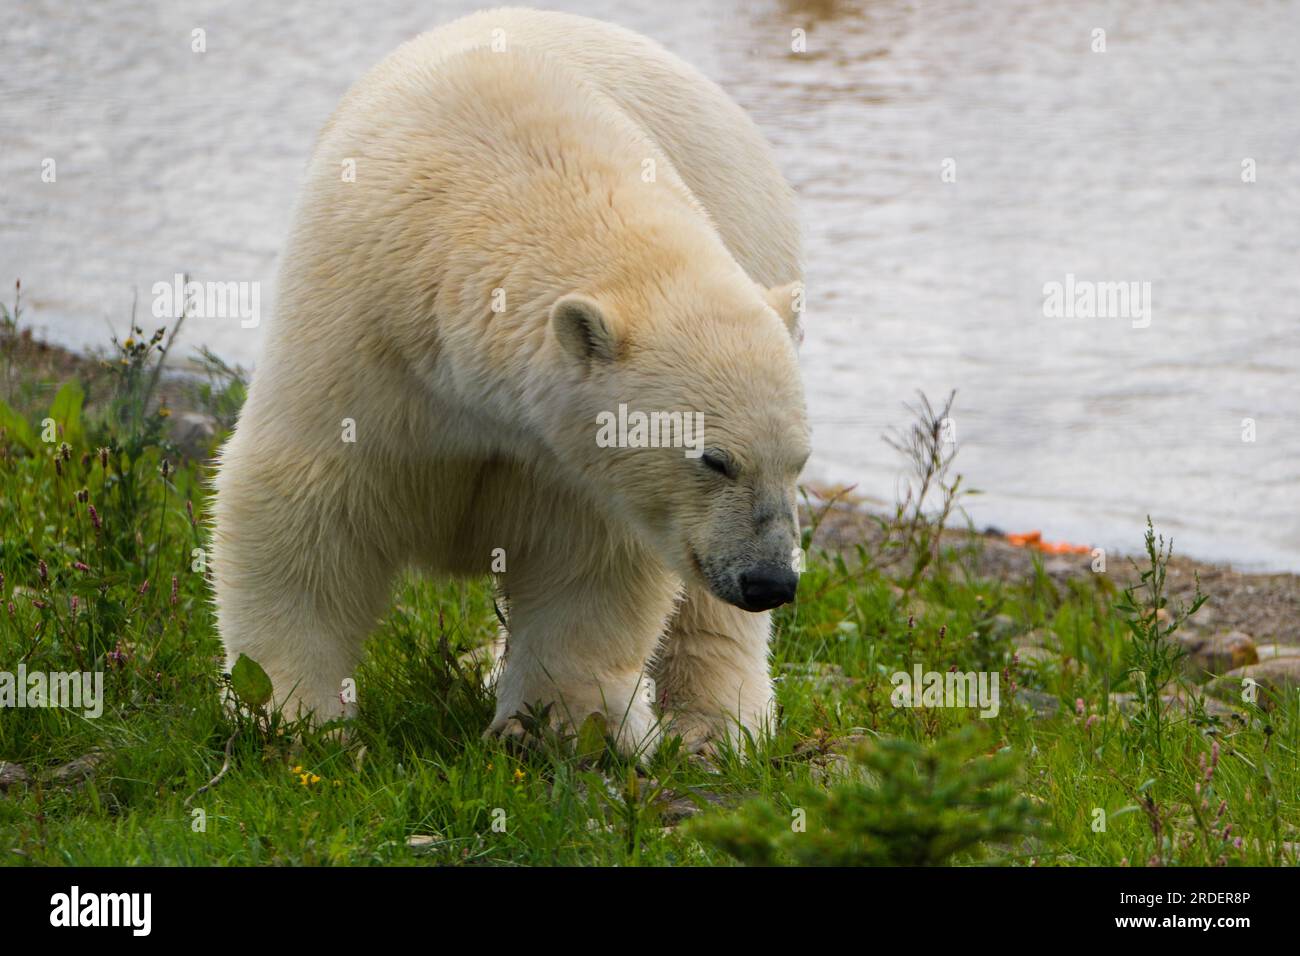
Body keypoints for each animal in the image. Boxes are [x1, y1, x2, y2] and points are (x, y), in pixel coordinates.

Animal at [210, 7, 800, 754]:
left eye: (800, 463)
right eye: (713, 459)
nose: (770, 580)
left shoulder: (568, 459)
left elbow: (587, 566)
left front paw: (564, 728)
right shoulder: (364, 328)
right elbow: (305, 507)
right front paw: (296, 718)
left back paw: (716, 725)